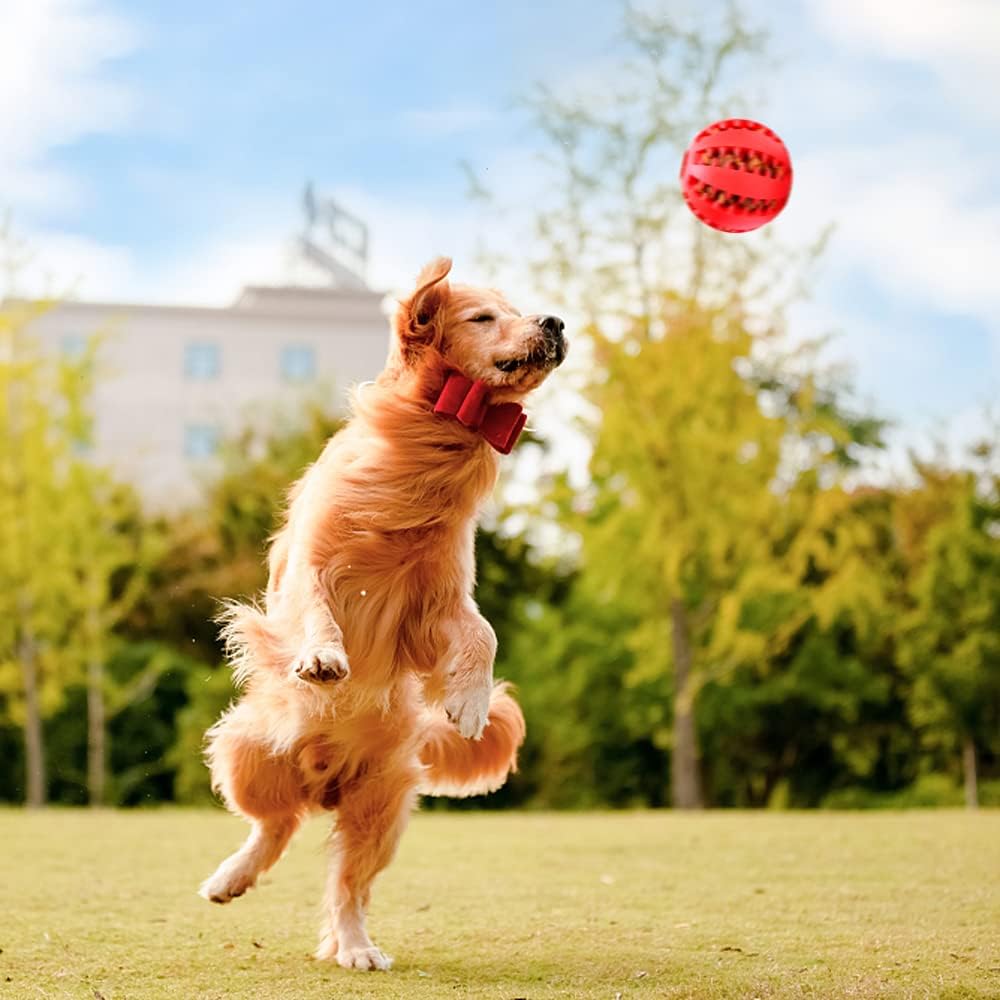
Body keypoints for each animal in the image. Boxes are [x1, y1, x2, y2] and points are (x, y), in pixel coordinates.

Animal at [199, 256, 568, 968]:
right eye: (485, 317)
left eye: (520, 309)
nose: (556, 321)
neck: (430, 442)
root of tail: (323, 784)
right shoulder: (312, 563)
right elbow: (317, 607)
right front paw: (323, 657)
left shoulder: (440, 599)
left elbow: (483, 632)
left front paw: (471, 702)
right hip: (244, 756)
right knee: (273, 824)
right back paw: (231, 877)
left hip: (380, 809)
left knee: (345, 882)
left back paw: (355, 946)